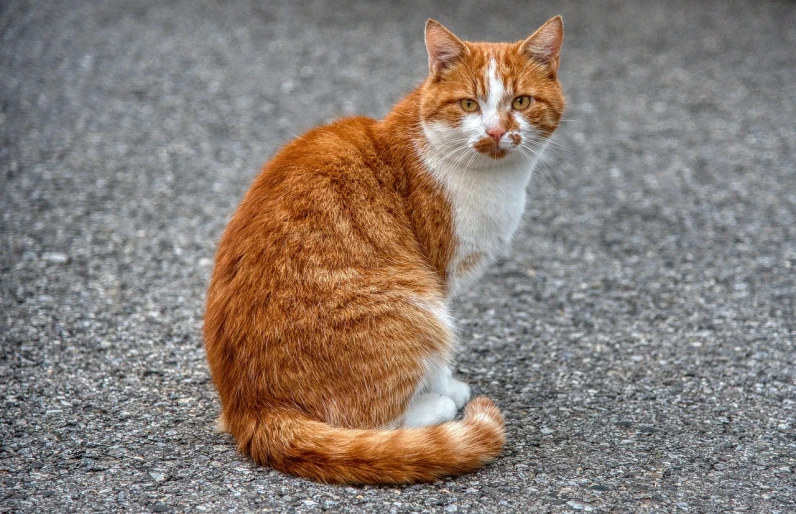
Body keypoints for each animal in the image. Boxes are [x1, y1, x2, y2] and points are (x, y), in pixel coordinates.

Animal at [205, 15, 564, 480]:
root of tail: (251, 408)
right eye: (469, 105)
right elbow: (439, 362)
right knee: (376, 421)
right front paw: (446, 387)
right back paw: (436, 406)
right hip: (415, 306)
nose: (497, 131)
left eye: (521, 102)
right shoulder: (437, 277)